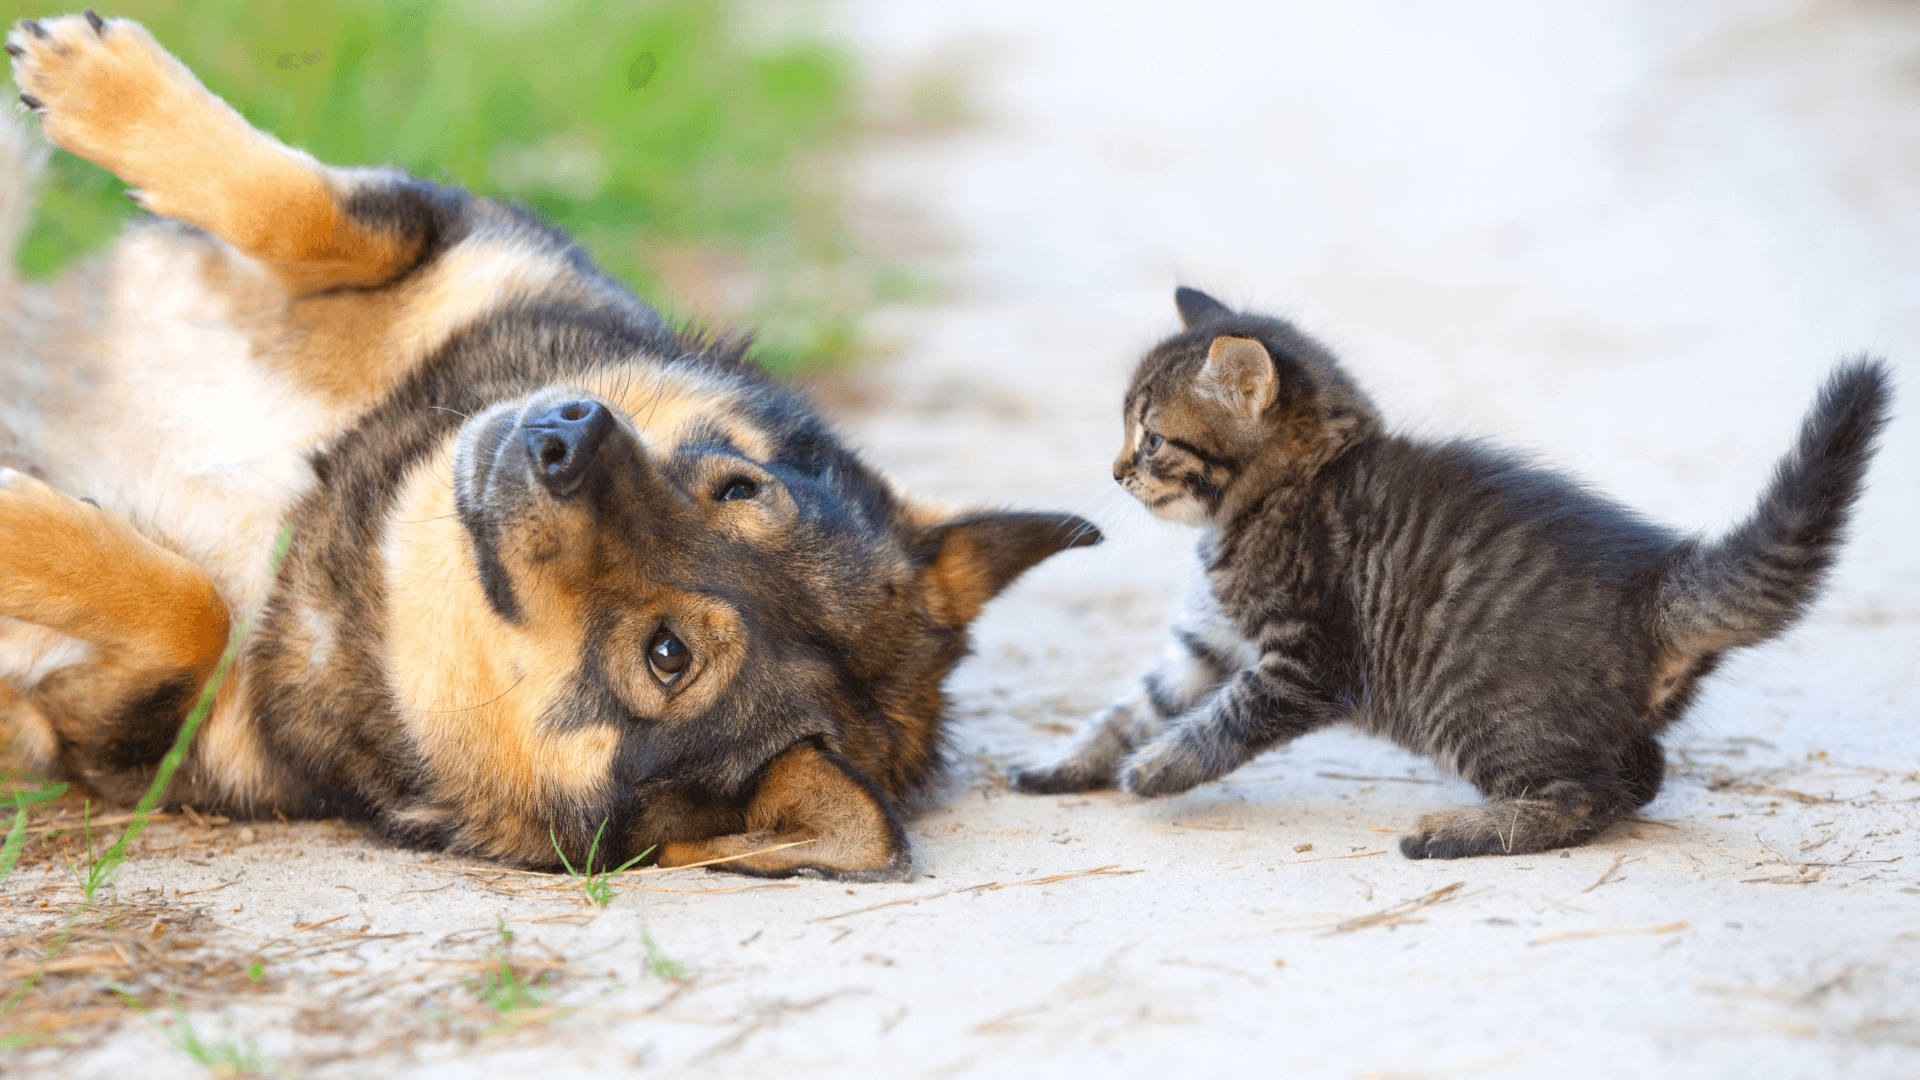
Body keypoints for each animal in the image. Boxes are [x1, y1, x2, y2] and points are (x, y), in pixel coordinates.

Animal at [1021, 288, 1889, 857]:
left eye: (1151, 438)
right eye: (1130, 433)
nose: (1116, 471)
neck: (1287, 488)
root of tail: (1655, 585)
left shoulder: (1303, 661)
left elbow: (1218, 723)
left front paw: (1155, 770)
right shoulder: (1208, 642)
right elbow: (1136, 705)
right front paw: (1071, 763)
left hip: (1475, 710)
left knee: (1598, 792)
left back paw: (1461, 831)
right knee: (1640, 773)